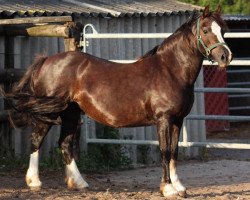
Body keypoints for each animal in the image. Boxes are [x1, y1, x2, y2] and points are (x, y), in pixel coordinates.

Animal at [2, 5, 232, 198]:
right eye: (205, 30)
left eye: (223, 30)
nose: (225, 57)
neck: (170, 70)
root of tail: (45, 61)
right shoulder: (164, 120)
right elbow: (165, 152)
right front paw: (167, 189)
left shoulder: (177, 120)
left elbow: (174, 152)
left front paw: (179, 187)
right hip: (49, 113)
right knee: (36, 140)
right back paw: (34, 182)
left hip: (71, 113)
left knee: (65, 144)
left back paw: (79, 183)